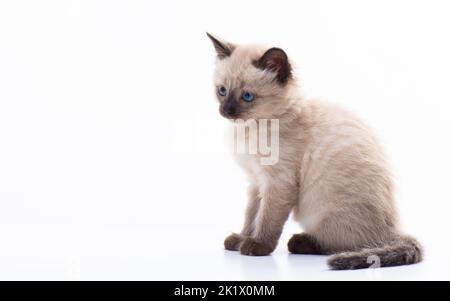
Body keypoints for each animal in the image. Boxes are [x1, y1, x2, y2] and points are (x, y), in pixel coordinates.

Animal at [207, 33, 422, 270]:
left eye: (247, 96)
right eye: (222, 91)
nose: (226, 111)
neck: (250, 129)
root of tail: (392, 229)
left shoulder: (278, 183)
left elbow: (267, 219)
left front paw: (256, 246)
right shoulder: (256, 182)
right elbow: (251, 216)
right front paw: (241, 239)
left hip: (324, 212)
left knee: (348, 244)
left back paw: (300, 241)